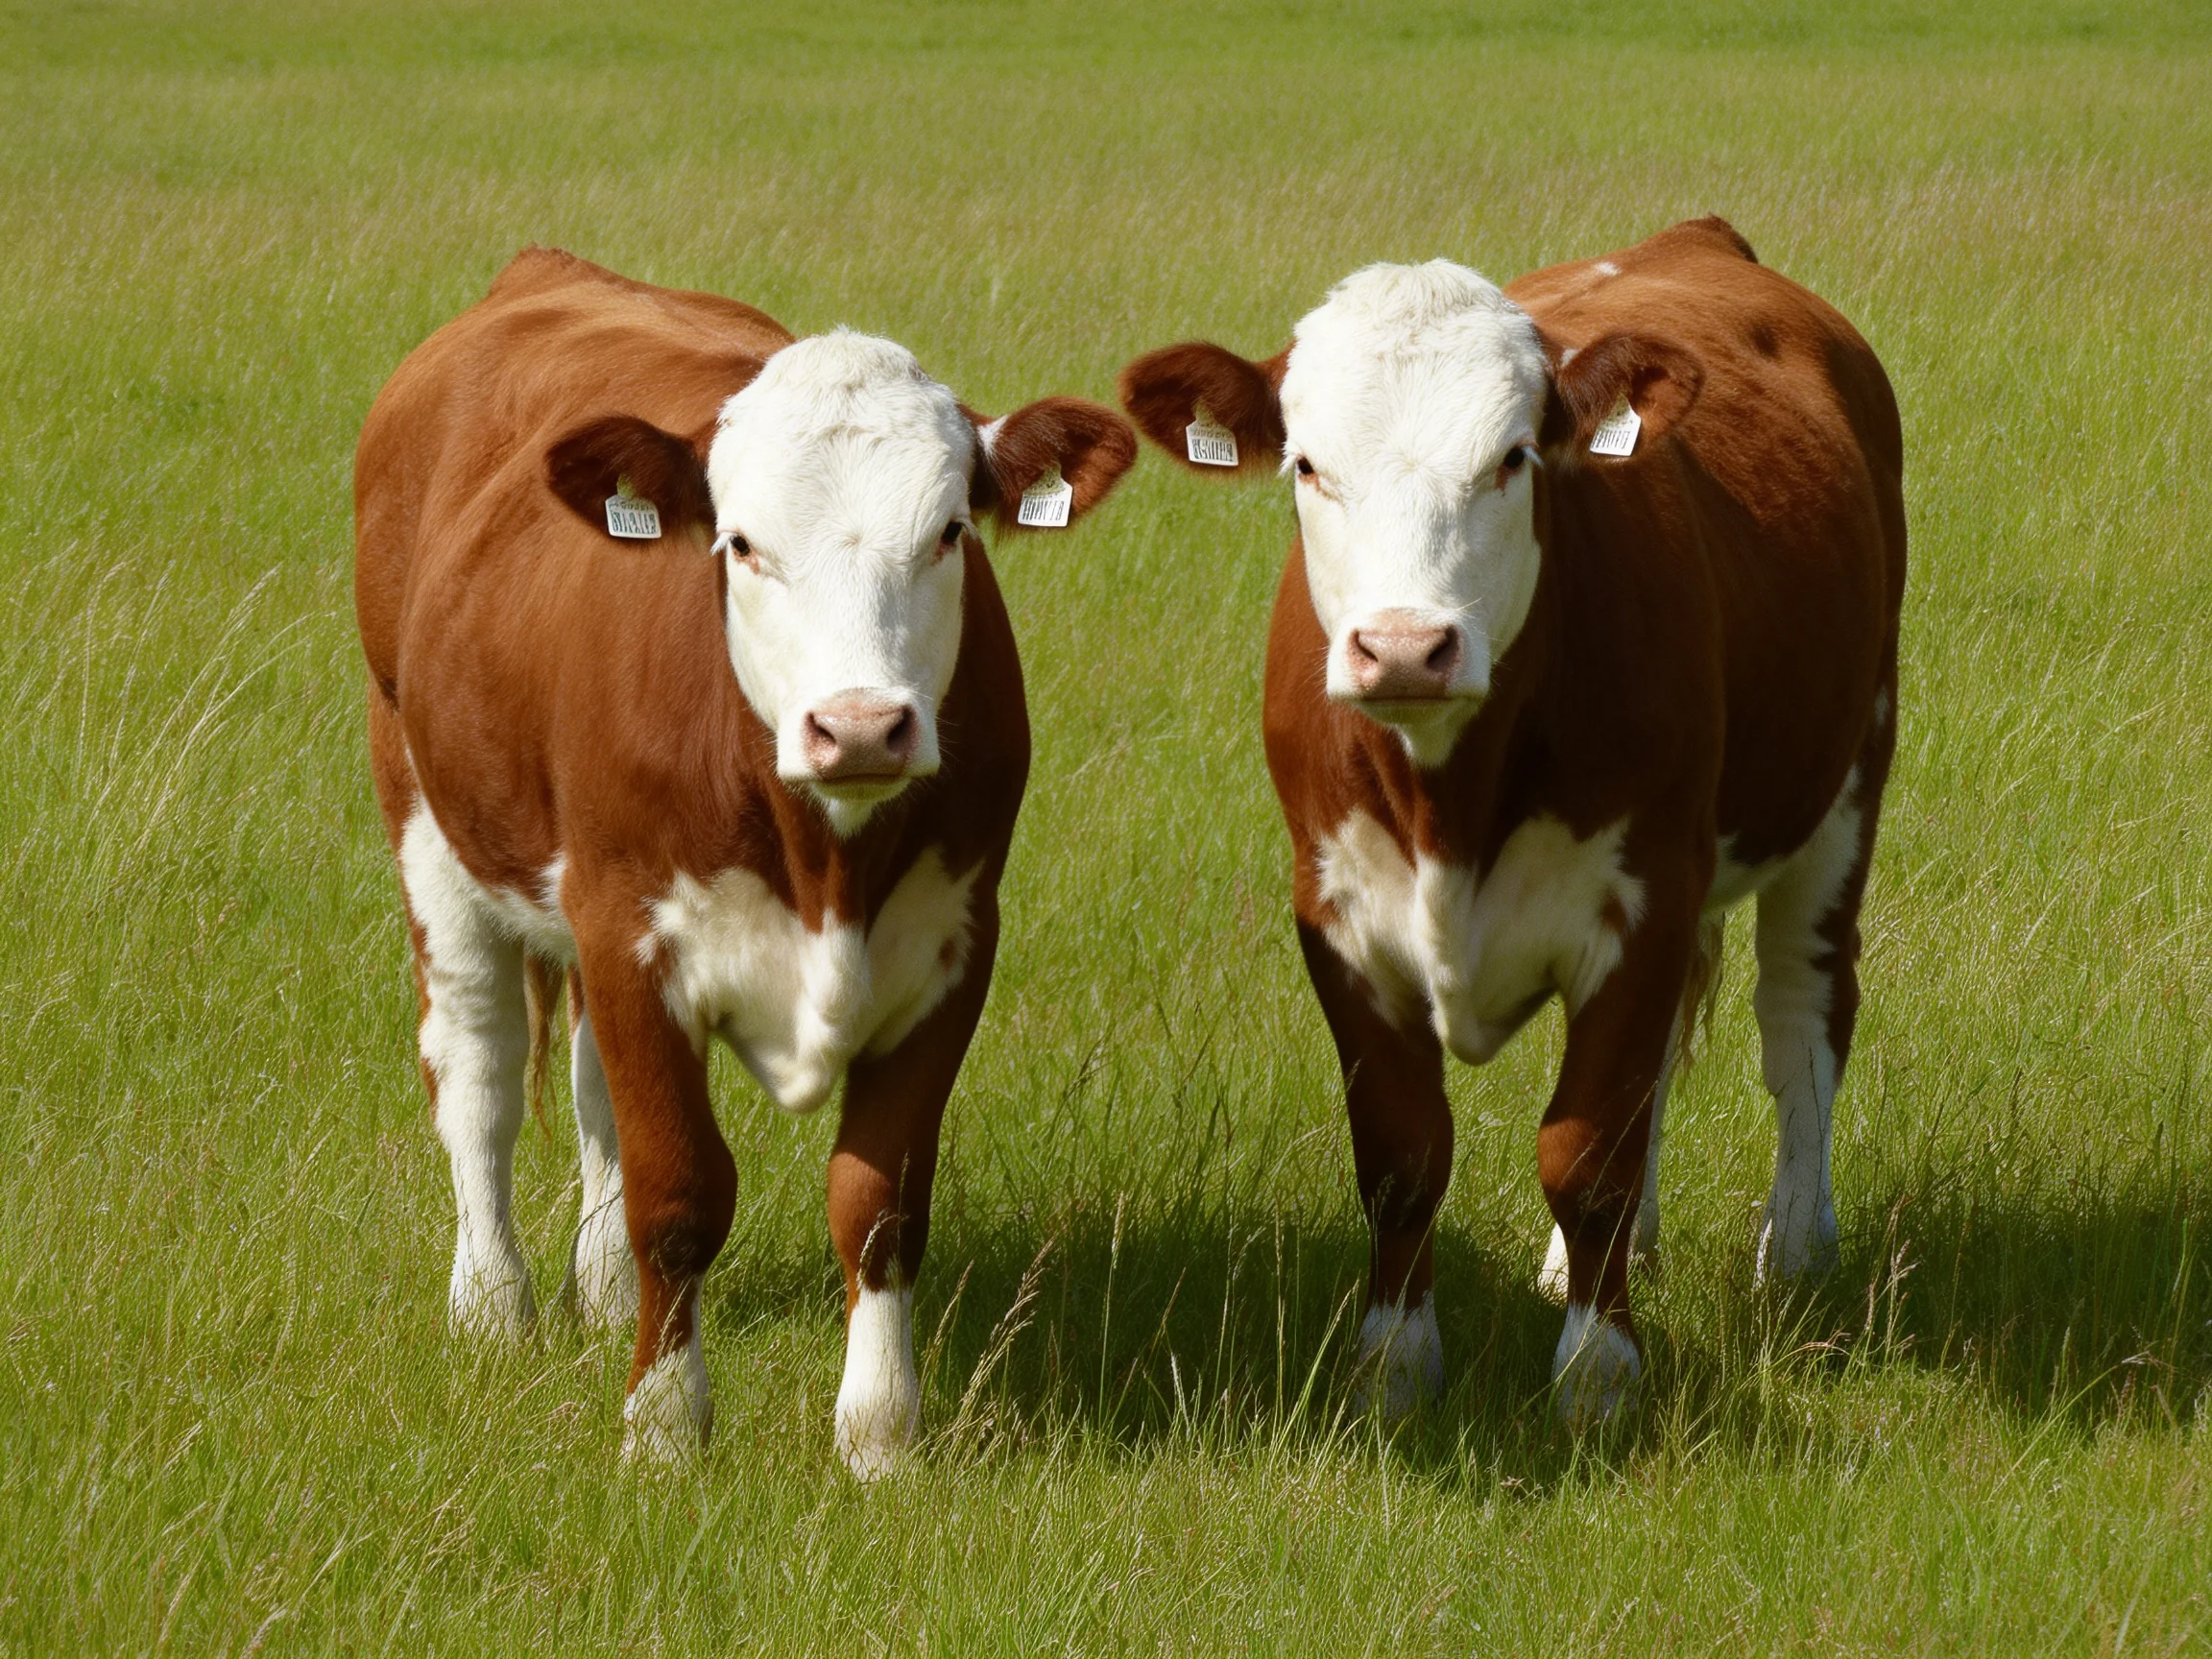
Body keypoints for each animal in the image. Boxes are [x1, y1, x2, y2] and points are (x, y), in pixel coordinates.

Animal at [354, 248, 1135, 1474]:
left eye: (949, 532)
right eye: (742, 543)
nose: (859, 727)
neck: (825, 863)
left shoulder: (953, 945)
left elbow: (879, 1199)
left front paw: (881, 1436)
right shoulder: (632, 930)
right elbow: (677, 1196)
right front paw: (664, 1428)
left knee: (589, 1090)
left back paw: (593, 1287)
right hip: (424, 809)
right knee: (477, 1071)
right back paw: (492, 1304)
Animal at [1117, 218, 1904, 1426]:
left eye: (1512, 459)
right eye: (1307, 464)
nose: (1404, 647)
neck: (1452, 793)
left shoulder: (1643, 898)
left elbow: (1588, 1154)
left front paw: (1598, 1376)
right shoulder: (1340, 919)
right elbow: (1405, 1156)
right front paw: (1394, 1368)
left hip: (1846, 779)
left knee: (1803, 1016)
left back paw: (1797, 1249)